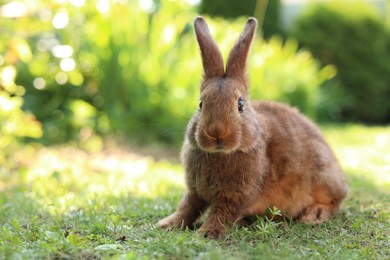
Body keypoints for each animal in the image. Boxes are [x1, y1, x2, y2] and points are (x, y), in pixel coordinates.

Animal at [158, 16, 348, 240]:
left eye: (240, 105)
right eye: (201, 104)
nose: (216, 132)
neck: (221, 154)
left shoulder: (237, 196)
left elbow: (221, 213)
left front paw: (206, 233)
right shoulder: (196, 191)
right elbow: (187, 207)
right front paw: (167, 225)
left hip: (323, 177)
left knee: (334, 201)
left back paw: (314, 215)